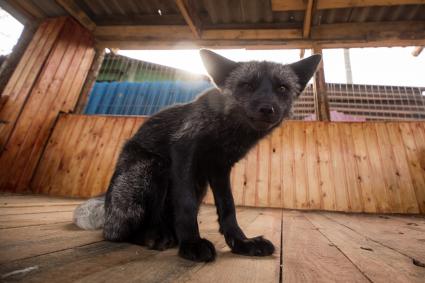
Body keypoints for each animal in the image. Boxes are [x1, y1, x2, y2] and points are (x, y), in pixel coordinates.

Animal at [73, 49, 318, 264]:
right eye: (247, 85)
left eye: (282, 88)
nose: (267, 109)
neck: (227, 131)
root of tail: (107, 206)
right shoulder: (184, 150)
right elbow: (186, 205)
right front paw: (191, 244)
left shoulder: (220, 168)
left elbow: (228, 208)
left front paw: (242, 243)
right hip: (154, 169)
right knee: (117, 234)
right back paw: (153, 236)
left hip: (199, 184)